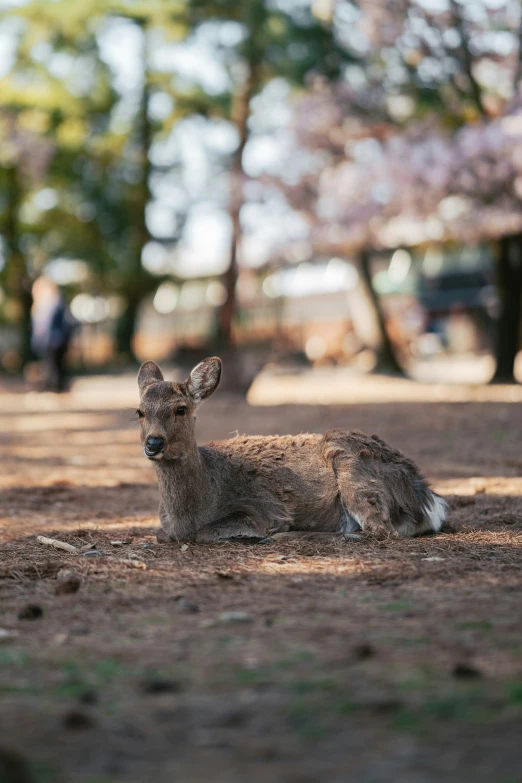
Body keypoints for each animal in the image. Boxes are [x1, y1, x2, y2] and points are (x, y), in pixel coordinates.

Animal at [136, 358, 444, 544]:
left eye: (181, 409)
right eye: (139, 411)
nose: (153, 443)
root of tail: (427, 498)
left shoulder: (261, 507)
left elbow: (204, 532)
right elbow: (160, 533)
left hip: (355, 472)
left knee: (380, 530)